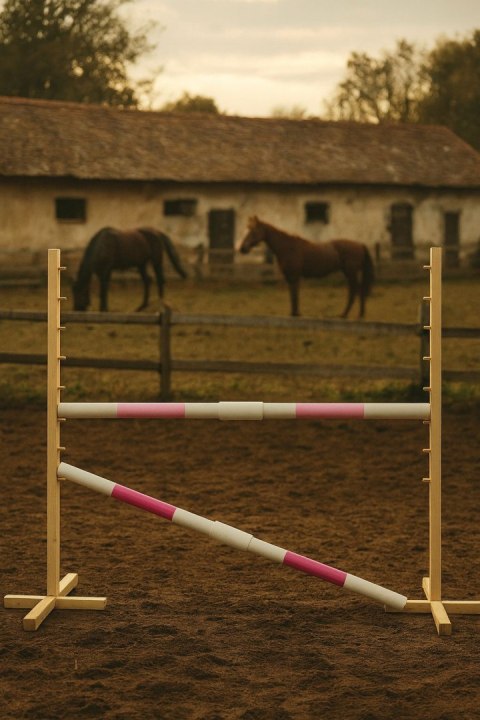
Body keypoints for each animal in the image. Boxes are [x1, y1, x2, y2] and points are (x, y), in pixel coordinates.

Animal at [239, 217, 375, 318]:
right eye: (246, 229)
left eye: (253, 231)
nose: (242, 248)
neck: (287, 247)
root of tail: (360, 245)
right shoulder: (290, 278)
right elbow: (293, 297)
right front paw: (294, 313)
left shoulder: (294, 276)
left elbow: (295, 297)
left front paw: (295, 314)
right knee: (359, 290)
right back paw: (359, 315)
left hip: (351, 273)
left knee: (354, 291)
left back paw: (345, 314)